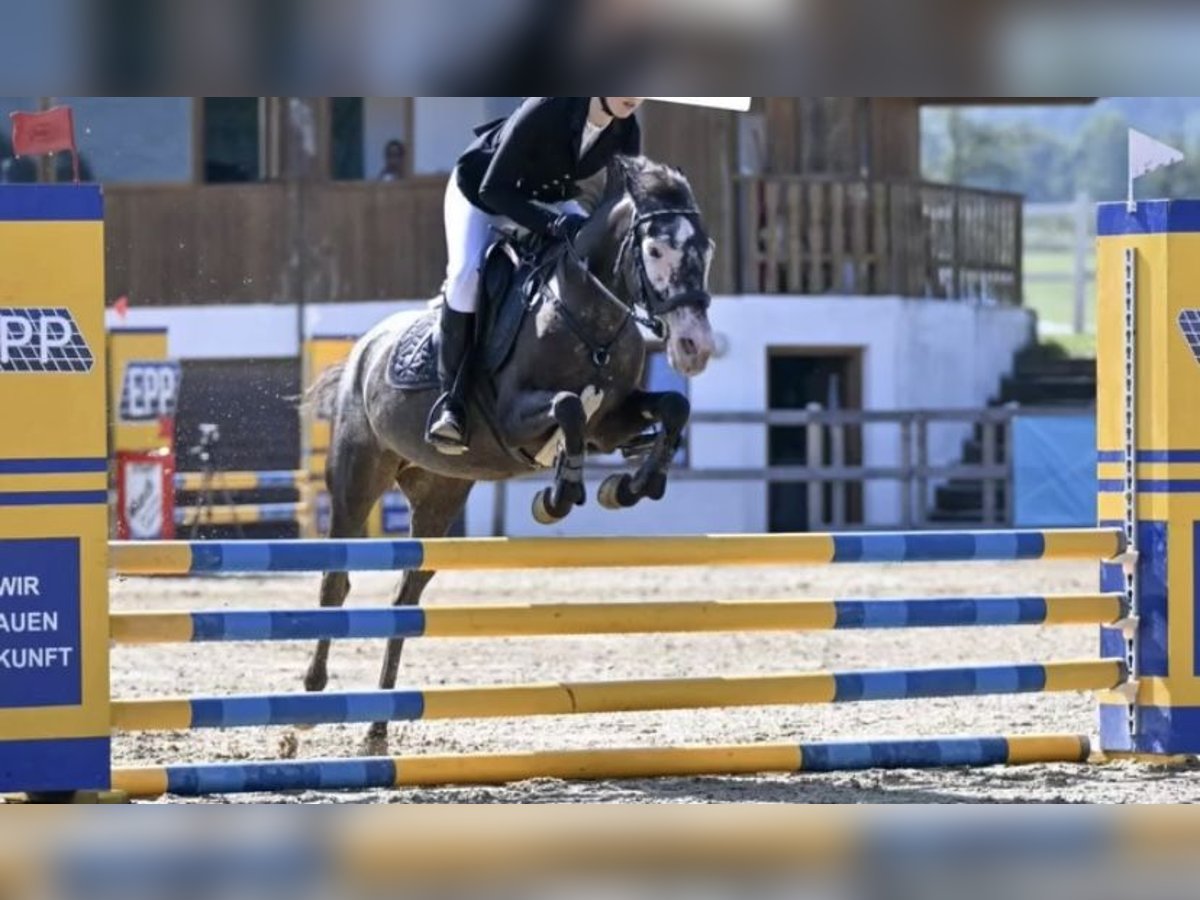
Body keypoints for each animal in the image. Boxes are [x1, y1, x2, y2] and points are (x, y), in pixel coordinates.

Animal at [302, 157, 710, 753]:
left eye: (707, 248)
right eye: (655, 251)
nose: (694, 347)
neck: (589, 319)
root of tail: (366, 346)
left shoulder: (610, 422)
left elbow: (672, 407)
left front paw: (631, 486)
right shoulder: (515, 417)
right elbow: (568, 406)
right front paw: (559, 496)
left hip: (440, 494)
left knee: (406, 597)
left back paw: (377, 730)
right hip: (358, 475)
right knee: (336, 578)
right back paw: (308, 701)